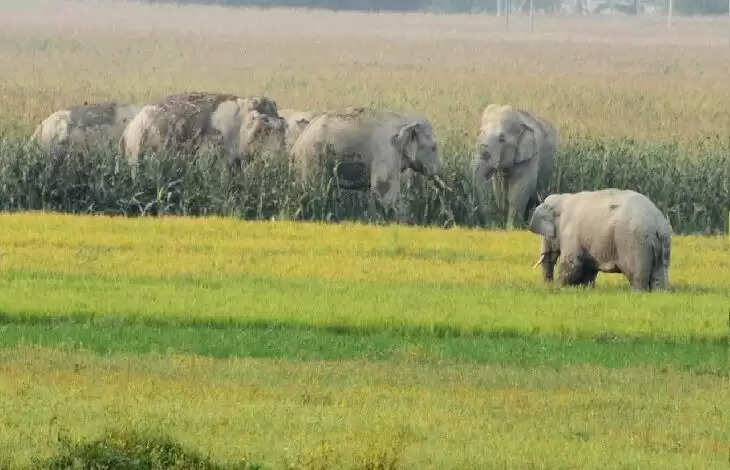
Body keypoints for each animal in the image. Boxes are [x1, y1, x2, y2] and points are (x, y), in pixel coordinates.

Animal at [290, 107, 444, 212]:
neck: (406, 120)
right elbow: (384, 193)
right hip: (311, 158)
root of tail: (296, 145)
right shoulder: (386, 151)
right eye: (434, 148)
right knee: (312, 190)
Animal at [524, 188, 672, 290]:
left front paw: (559, 287)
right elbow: (588, 269)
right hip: (662, 243)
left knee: (637, 277)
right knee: (659, 275)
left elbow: (572, 264)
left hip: (636, 244)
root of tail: (657, 223)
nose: (547, 286)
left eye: (546, 235)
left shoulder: (571, 232)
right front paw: (584, 289)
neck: (563, 198)